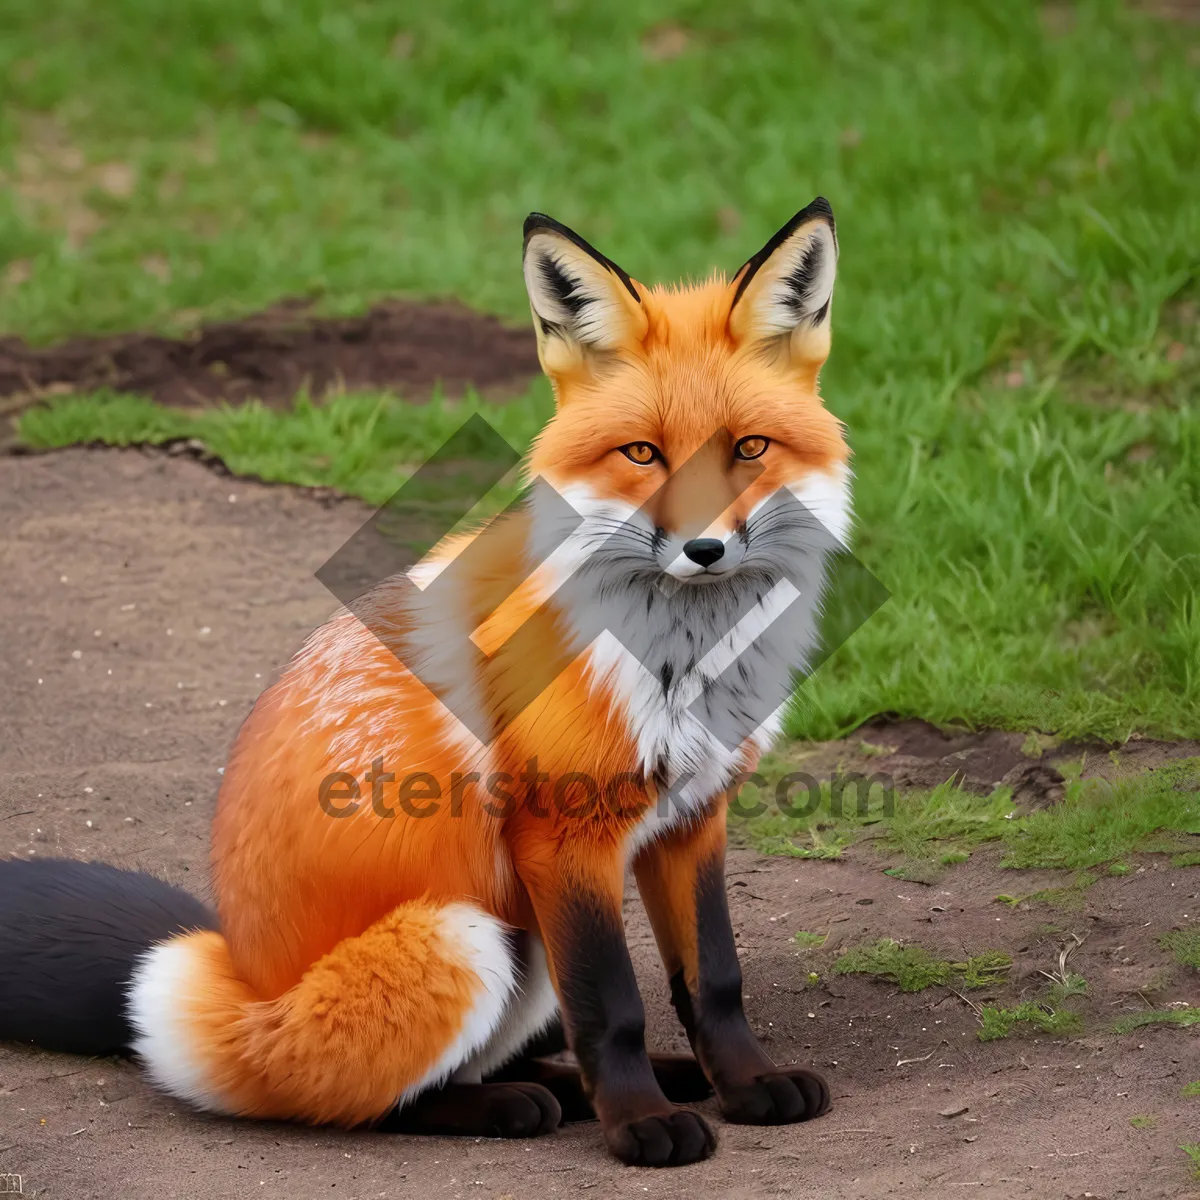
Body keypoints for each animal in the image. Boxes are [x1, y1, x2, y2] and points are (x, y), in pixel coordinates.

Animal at [0, 201, 849, 1166]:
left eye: (749, 449)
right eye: (642, 453)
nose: (704, 549)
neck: (682, 664)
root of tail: (230, 991)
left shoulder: (693, 817)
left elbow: (715, 980)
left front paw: (742, 1084)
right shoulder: (564, 836)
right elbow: (614, 1005)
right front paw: (639, 1123)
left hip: (521, 947)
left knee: (487, 1059)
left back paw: (592, 1085)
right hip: (466, 936)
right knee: (368, 1101)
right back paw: (523, 1106)